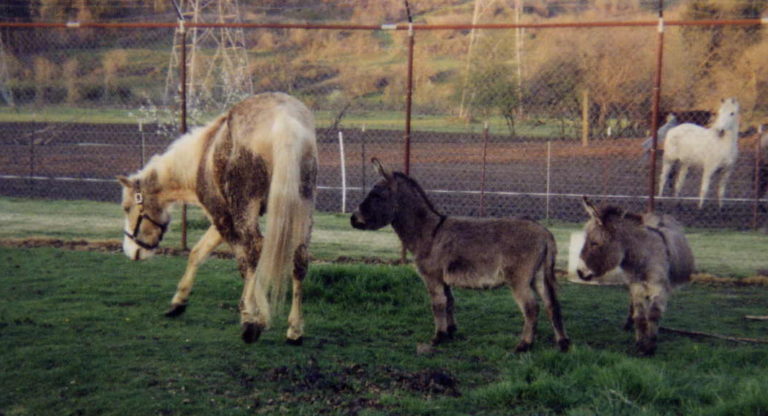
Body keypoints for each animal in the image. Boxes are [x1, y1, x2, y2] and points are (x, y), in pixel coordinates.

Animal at [117, 92, 318, 345]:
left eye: (127, 208)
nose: (131, 250)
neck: (202, 156)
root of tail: (283, 119)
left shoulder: (222, 216)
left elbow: (243, 262)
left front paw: (252, 315)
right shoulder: (223, 217)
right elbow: (197, 253)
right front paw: (178, 302)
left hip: (247, 209)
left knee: (255, 251)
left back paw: (253, 324)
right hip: (303, 204)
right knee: (299, 258)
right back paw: (294, 330)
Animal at [350, 158, 570, 353]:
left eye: (376, 195)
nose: (353, 219)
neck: (429, 232)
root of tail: (545, 232)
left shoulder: (432, 277)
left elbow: (437, 305)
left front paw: (438, 337)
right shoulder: (444, 279)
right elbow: (449, 302)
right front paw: (450, 332)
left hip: (520, 279)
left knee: (532, 309)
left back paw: (524, 345)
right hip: (539, 276)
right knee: (552, 305)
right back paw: (562, 343)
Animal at [577, 197, 694, 356]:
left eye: (595, 243)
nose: (580, 272)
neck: (643, 256)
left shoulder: (659, 286)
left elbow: (654, 313)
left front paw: (650, 346)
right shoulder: (636, 284)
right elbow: (640, 316)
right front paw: (640, 344)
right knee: (632, 302)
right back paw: (628, 324)